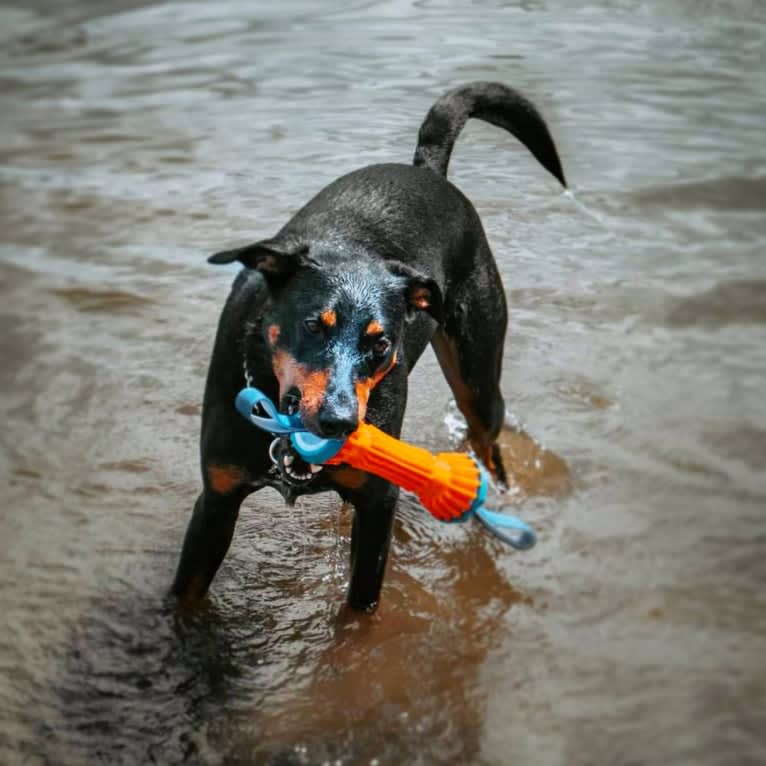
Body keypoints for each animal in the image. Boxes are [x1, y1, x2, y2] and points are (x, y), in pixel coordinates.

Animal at [176, 82, 568, 612]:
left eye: (380, 342)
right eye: (312, 326)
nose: (340, 422)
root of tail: (428, 171)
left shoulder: (378, 504)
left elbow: (360, 611)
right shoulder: (216, 501)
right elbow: (183, 599)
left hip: (479, 379)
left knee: (490, 445)